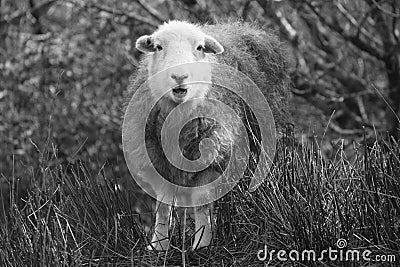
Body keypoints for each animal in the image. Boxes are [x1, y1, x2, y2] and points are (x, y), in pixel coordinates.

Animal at [122, 20, 290, 251]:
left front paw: (202, 243)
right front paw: (159, 244)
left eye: (200, 47)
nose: (179, 76)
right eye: (158, 47)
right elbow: (163, 206)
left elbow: (201, 200)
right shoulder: (156, 160)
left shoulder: (213, 156)